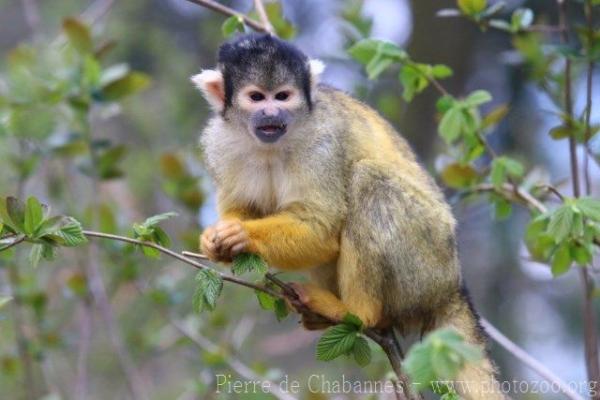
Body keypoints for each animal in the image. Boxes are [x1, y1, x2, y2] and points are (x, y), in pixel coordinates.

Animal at [192, 35, 502, 400]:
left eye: (283, 96)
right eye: (256, 97)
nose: (271, 113)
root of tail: (453, 285)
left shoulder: (323, 143)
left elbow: (321, 226)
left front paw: (241, 234)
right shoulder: (218, 144)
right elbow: (244, 207)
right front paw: (217, 239)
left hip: (426, 263)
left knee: (368, 180)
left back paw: (357, 314)